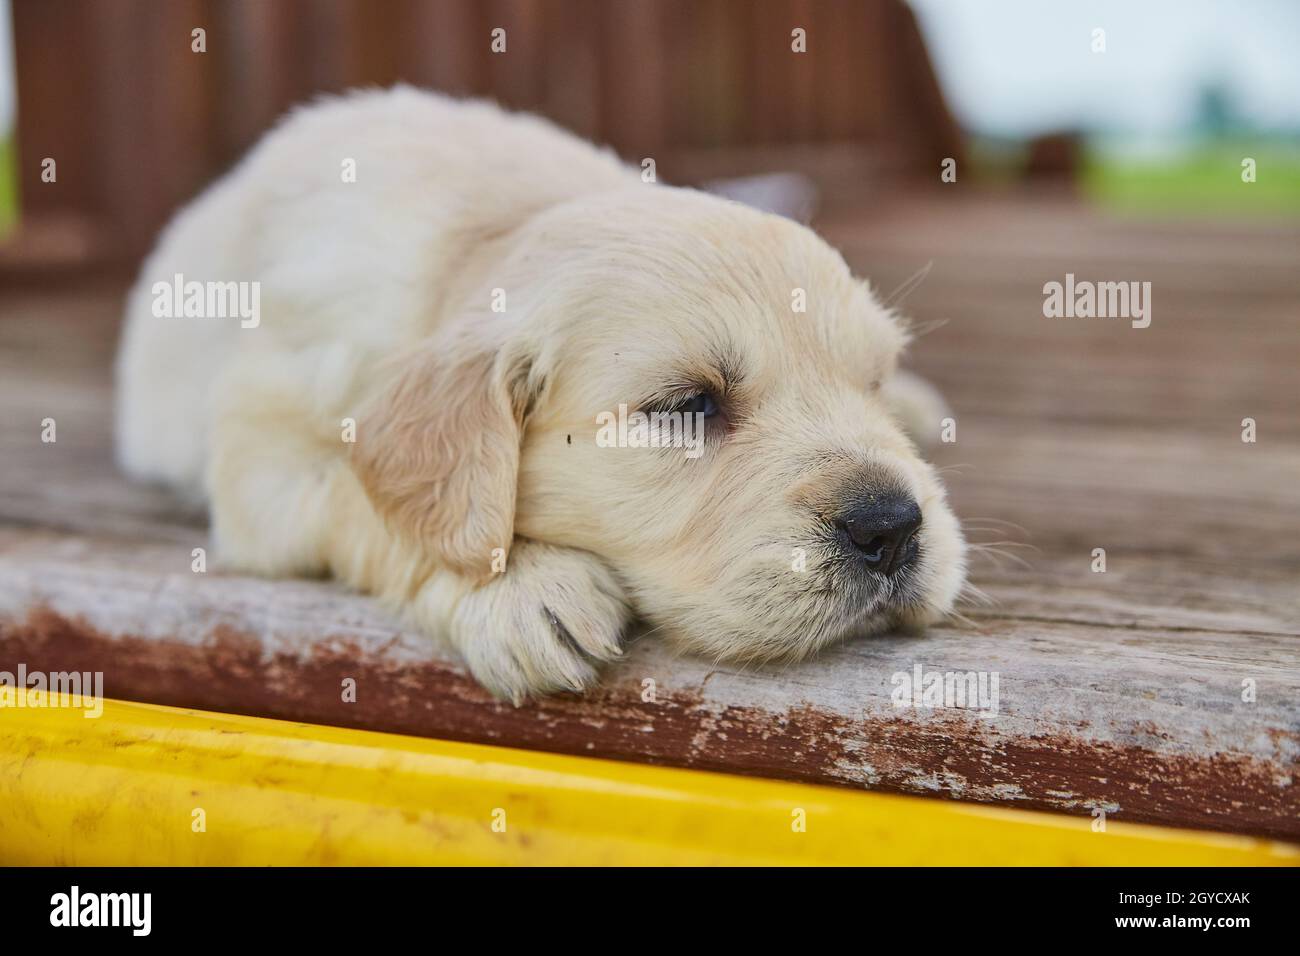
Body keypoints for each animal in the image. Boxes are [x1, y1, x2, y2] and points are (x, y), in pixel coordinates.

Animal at [114, 87, 967, 702]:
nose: (891, 526)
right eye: (690, 406)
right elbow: (362, 502)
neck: (489, 230)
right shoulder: (265, 452)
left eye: (869, 381)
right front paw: (525, 587)